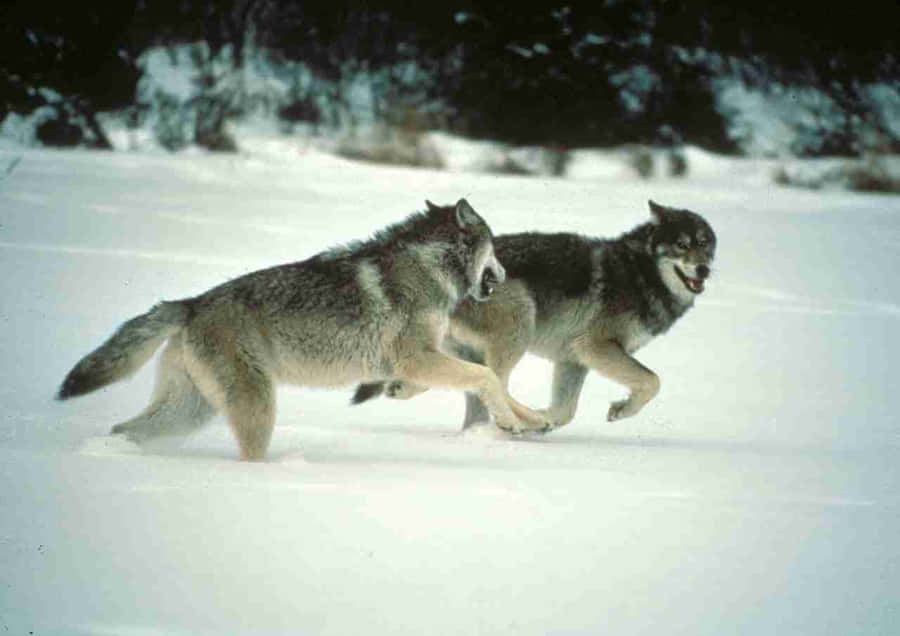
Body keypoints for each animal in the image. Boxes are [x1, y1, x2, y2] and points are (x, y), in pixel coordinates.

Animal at [57, 199, 552, 461]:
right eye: (495, 249)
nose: (505, 275)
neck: (428, 269)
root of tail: (192, 303)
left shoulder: (423, 360)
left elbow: (499, 386)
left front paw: (532, 421)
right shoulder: (417, 358)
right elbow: (488, 378)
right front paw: (511, 423)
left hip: (190, 410)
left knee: (126, 429)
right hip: (254, 405)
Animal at [353, 200, 717, 431]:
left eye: (705, 244)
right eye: (682, 245)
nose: (704, 269)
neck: (641, 273)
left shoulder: (574, 359)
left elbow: (566, 411)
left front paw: (547, 420)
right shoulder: (595, 347)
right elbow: (653, 380)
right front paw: (620, 409)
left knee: (458, 384)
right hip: (520, 318)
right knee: (494, 382)